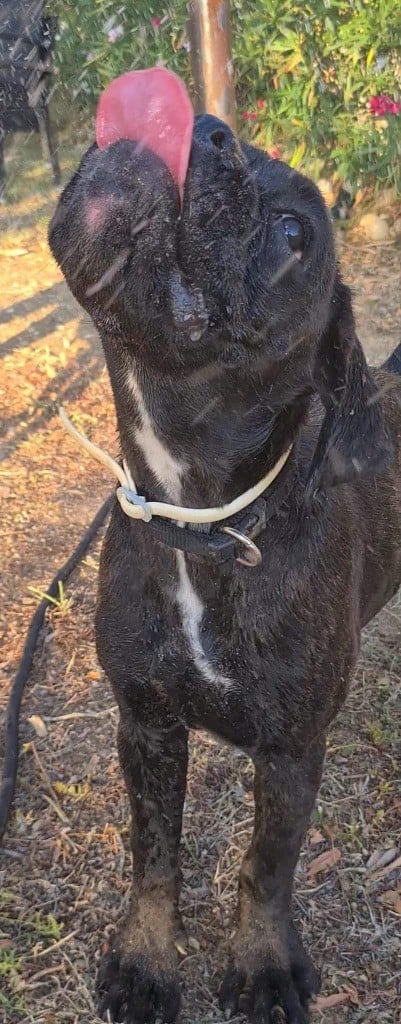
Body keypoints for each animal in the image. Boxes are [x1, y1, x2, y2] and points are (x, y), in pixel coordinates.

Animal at [49, 113, 401, 1024]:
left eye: (293, 233)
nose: (208, 130)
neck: (202, 521)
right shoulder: (146, 726)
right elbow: (155, 857)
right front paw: (146, 959)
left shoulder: (291, 748)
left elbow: (265, 867)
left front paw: (263, 963)